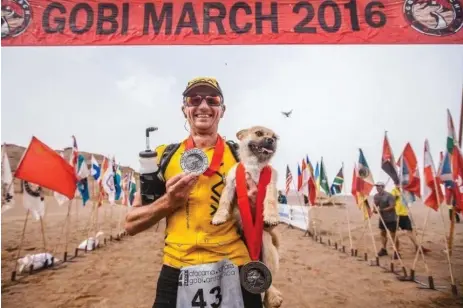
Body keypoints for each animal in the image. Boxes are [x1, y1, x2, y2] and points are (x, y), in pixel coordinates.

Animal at [213, 125, 282, 308]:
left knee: (270, 281)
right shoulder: (231, 185)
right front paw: (219, 216)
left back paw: (273, 297)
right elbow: (223, 202)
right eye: (259, 133)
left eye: (275, 137)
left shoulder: (270, 185)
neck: (254, 165)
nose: (270, 140)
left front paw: (271, 216)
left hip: (266, 246)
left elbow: (270, 201)